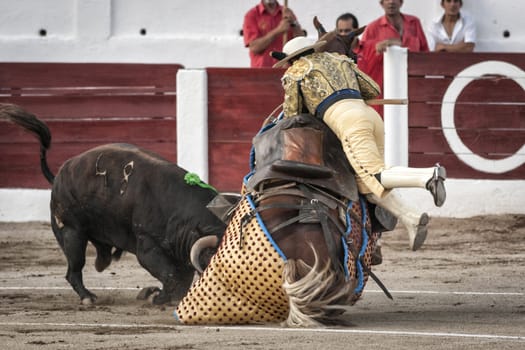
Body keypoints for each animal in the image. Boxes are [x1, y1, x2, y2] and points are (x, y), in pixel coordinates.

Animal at [0, 103, 225, 304]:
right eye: (211, 260)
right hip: (72, 232)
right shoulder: (147, 246)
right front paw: (157, 297)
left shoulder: (181, 254)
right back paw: (88, 297)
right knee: (74, 269)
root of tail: (57, 177)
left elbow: (180, 279)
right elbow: (170, 275)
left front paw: (159, 296)